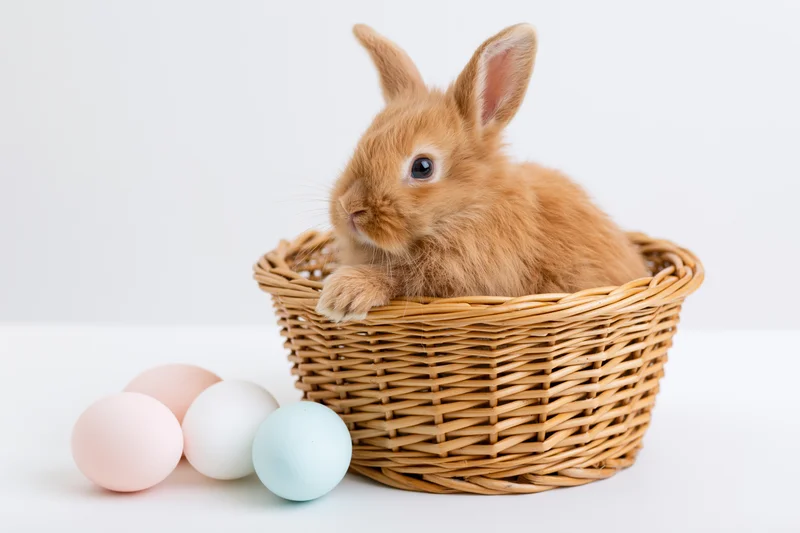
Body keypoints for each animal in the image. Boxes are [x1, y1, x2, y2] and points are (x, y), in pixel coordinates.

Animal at [316, 23, 649, 322]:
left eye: (422, 167)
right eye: (362, 143)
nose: (349, 208)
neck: (471, 211)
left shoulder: (464, 279)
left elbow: (403, 278)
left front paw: (342, 294)